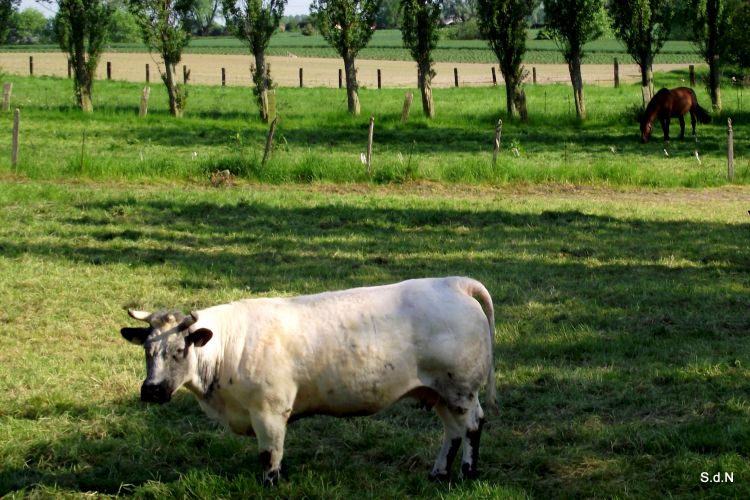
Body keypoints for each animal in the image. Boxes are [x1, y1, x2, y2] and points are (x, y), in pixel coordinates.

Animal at [122, 278, 500, 484]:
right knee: (452, 432)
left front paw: (270, 484)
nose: (151, 391)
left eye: (180, 349)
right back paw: (439, 473)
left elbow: (270, 455)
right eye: (147, 349)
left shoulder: (269, 411)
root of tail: (454, 282)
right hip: (439, 391)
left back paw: (466, 473)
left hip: (461, 389)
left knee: (471, 426)